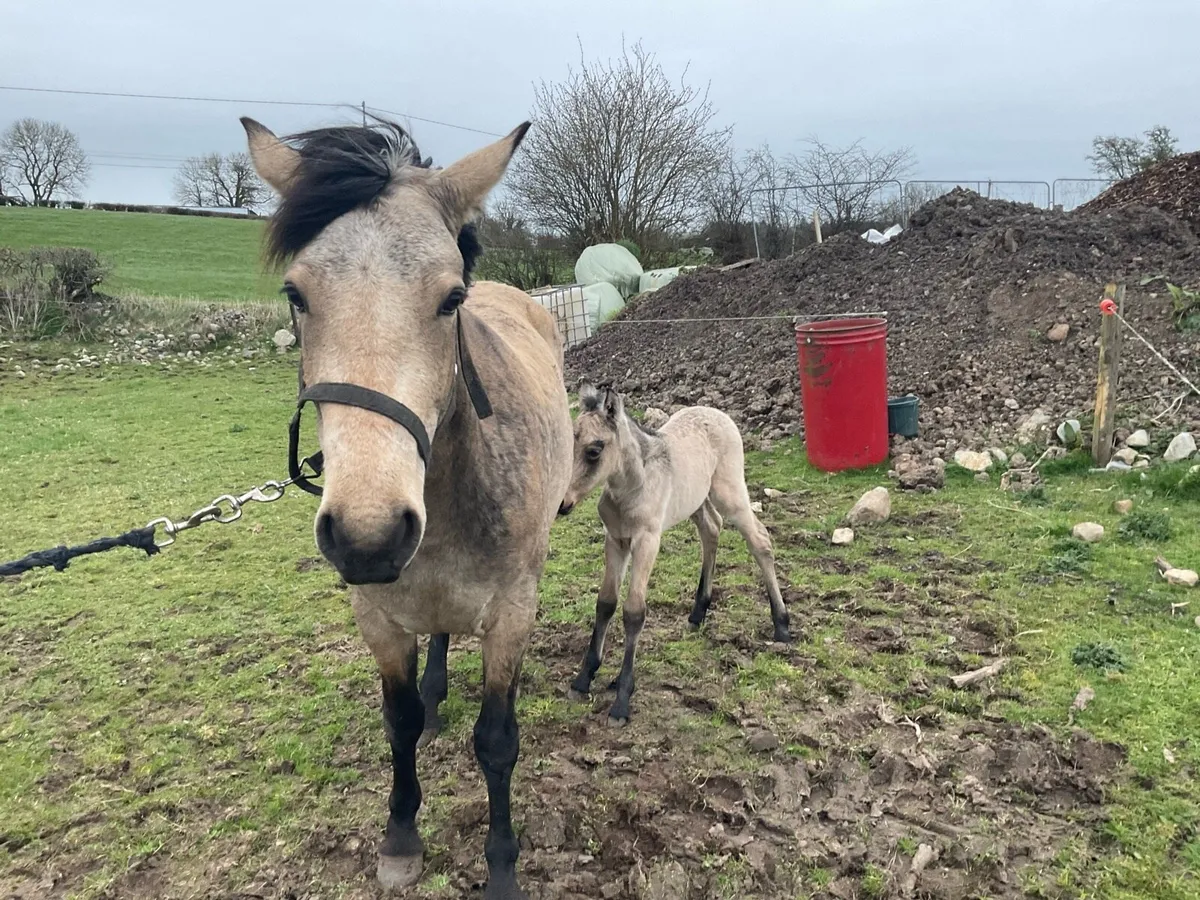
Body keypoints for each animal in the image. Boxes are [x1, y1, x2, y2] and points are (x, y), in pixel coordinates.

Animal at [241, 114, 573, 899]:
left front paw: (502, 864)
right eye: (297, 295)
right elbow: (397, 721)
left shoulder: (511, 616)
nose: (369, 536)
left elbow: (497, 742)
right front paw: (400, 835)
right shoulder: (379, 619)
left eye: (450, 298)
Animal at [557, 385, 791, 725]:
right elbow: (606, 603)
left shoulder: (647, 541)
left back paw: (782, 624)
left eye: (594, 450)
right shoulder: (615, 540)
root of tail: (716, 412)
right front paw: (583, 679)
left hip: (730, 493)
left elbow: (634, 612)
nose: (562, 504)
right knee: (711, 528)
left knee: (759, 540)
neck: (632, 486)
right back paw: (698, 612)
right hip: (696, 500)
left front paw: (622, 700)